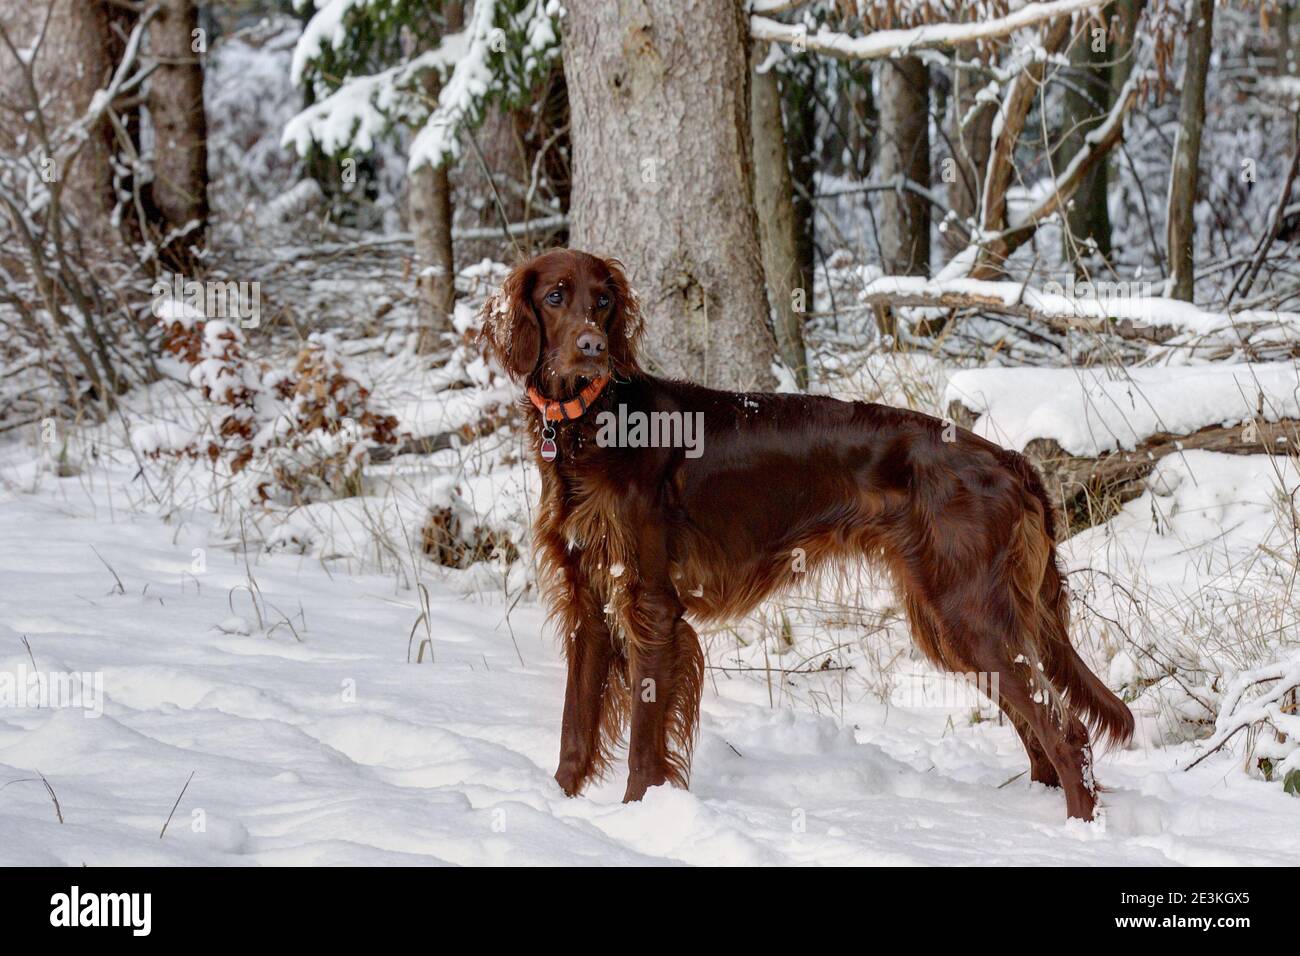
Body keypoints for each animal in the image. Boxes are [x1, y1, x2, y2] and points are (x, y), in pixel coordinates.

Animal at [478, 248, 1128, 822]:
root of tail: (1010, 459)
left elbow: (644, 741)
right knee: (1037, 732)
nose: (592, 349)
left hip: (971, 614)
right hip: (957, 623)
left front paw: (640, 816)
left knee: (1065, 731)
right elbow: (574, 727)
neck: (593, 426)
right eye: (556, 296)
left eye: (604, 301)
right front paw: (556, 804)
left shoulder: (650, 606)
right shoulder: (589, 603)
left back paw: (1077, 829)